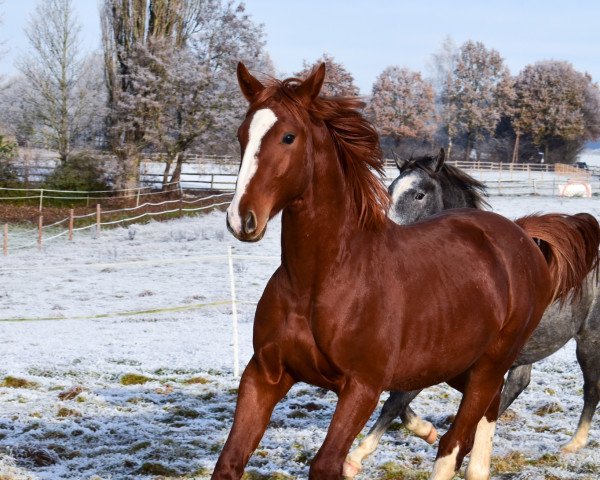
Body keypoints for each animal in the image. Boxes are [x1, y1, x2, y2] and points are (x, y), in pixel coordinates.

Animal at [342, 149, 600, 476]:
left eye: (419, 194)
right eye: (390, 190)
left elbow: (397, 400)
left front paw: (354, 458)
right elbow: (400, 399)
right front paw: (427, 431)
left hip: (588, 340)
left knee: (591, 388)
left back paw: (573, 444)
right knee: (515, 386)